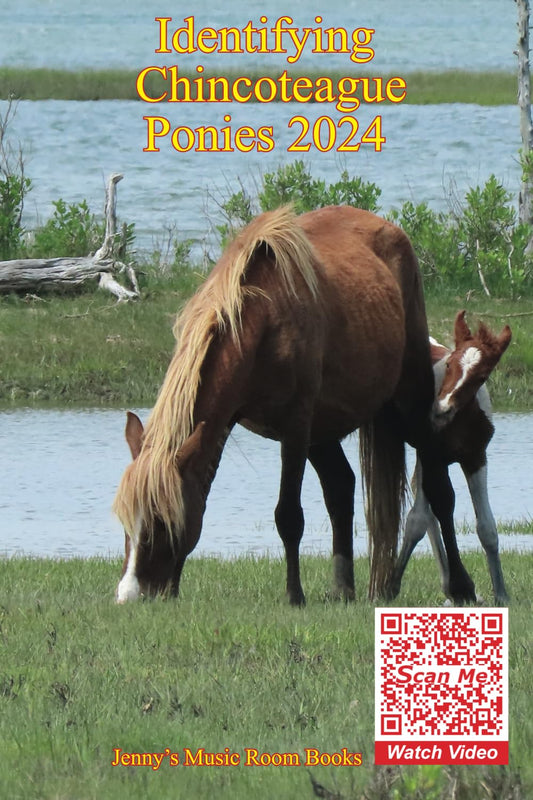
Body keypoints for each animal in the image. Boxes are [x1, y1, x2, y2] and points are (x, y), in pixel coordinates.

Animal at [113, 205, 477, 605]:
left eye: (162, 522)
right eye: (126, 522)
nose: (129, 594)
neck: (262, 319)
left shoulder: (296, 425)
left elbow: (288, 515)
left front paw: (294, 595)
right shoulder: (228, 421)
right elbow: (202, 493)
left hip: (407, 400)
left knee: (440, 491)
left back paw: (461, 586)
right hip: (323, 429)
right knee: (341, 487)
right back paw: (343, 588)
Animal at [391, 311, 512, 603]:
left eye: (481, 376)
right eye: (449, 365)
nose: (441, 409)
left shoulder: (476, 457)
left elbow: (487, 528)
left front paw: (501, 594)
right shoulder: (432, 454)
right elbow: (423, 515)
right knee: (422, 511)